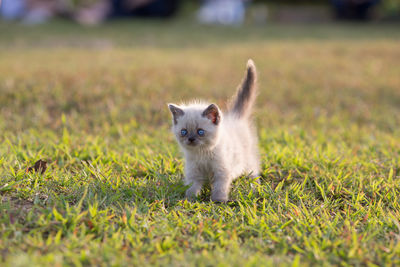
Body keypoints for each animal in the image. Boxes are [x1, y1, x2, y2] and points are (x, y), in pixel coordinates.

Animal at [168, 59, 260, 202]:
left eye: (200, 132)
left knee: (254, 171)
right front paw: (190, 200)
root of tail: (235, 115)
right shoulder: (193, 172)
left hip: (248, 159)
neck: (202, 154)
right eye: (184, 132)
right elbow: (192, 187)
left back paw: (255, 186)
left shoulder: (222, 170)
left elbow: (220, 187)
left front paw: (218, 201)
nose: (191, 139)